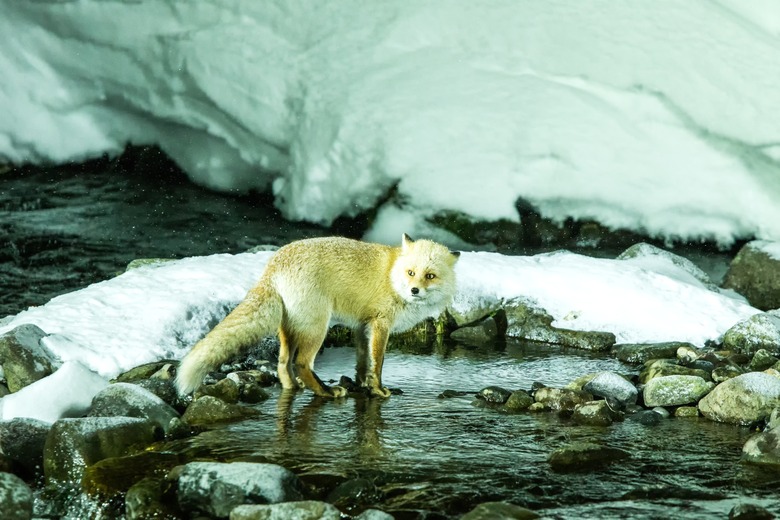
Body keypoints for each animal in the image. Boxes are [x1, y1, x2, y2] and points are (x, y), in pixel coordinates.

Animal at [175, 235, 458, 398]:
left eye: (429, 276)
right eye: (411, 273)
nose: (414, 290)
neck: (391, 277)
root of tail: (273, 264)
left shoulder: (362, 325)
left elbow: (362, 361)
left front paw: (361, 385)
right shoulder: (380, 324)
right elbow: (377, 363)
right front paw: (378, 389)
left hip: (291, 327)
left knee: (283, 363)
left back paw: (293, 387)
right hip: (317, 328)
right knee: (301, 363)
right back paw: (326, 392)